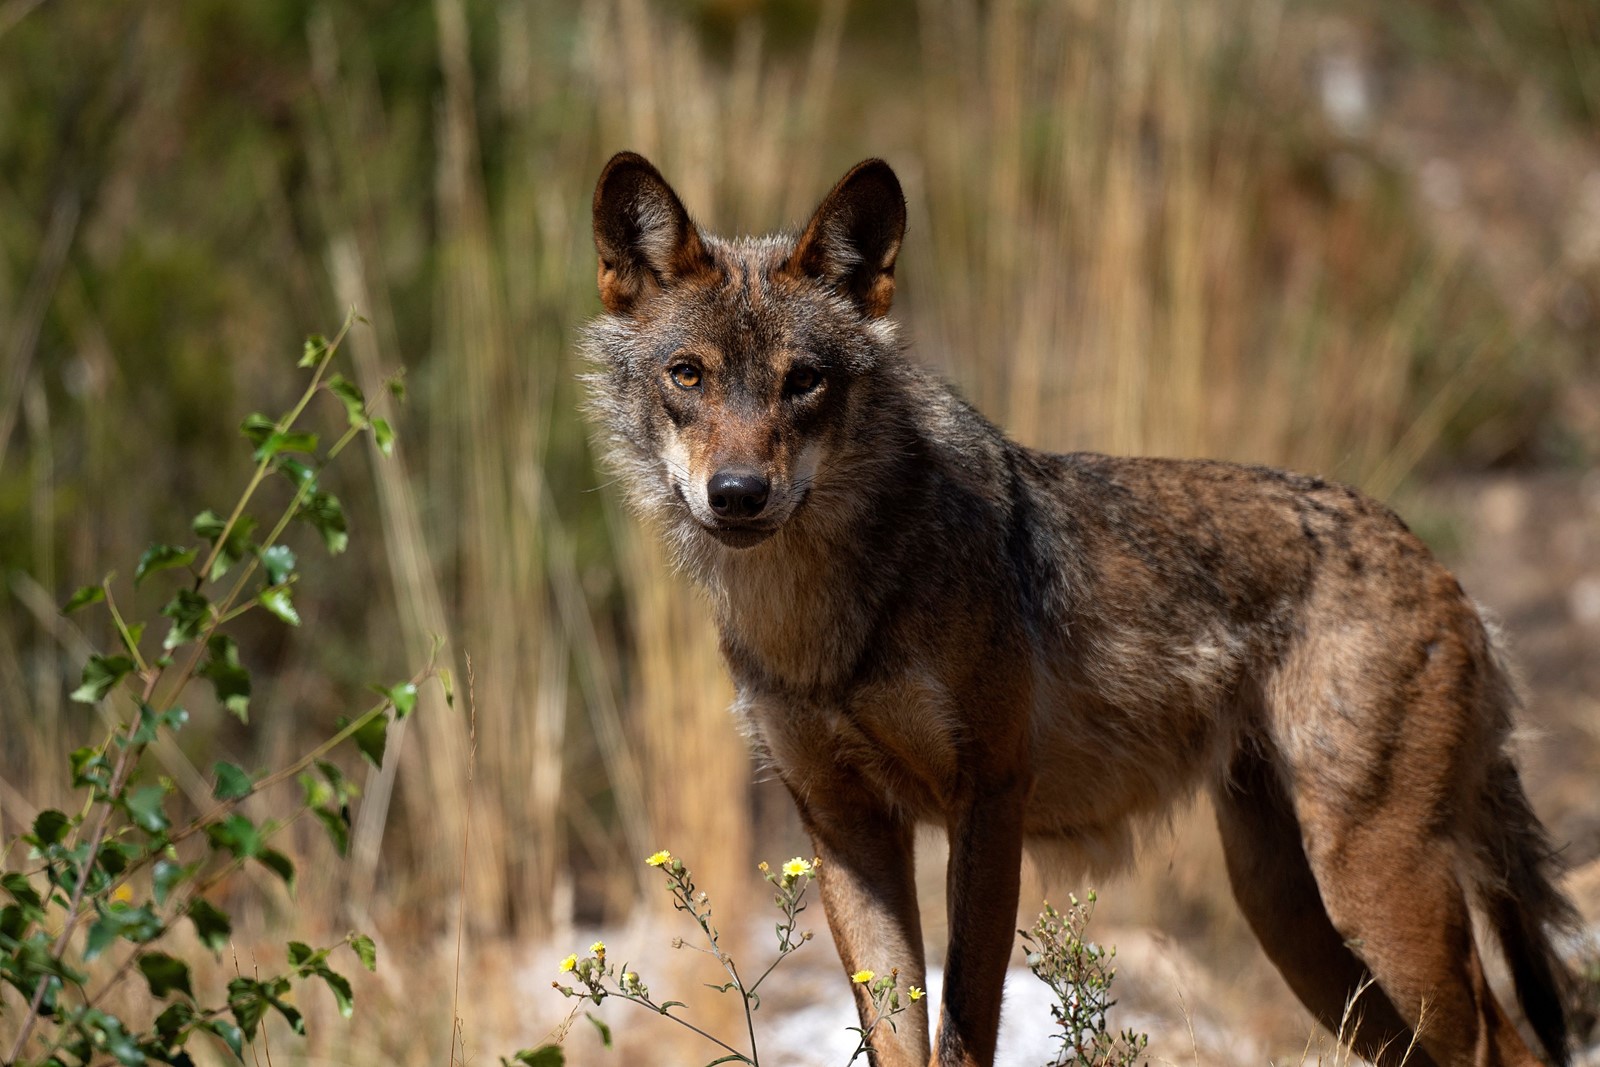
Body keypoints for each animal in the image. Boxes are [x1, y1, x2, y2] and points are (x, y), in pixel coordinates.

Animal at [582, 151, 1583, 1067]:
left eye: (804, 381)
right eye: (688, 375)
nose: (738, 494)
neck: (823, 622)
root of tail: (1437, 562)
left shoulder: (991, 798)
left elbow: (964, 1031)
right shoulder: (845, 826)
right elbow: (897, 1035)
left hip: (1373, 893)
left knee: (1509, 1043)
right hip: (1293, 919)